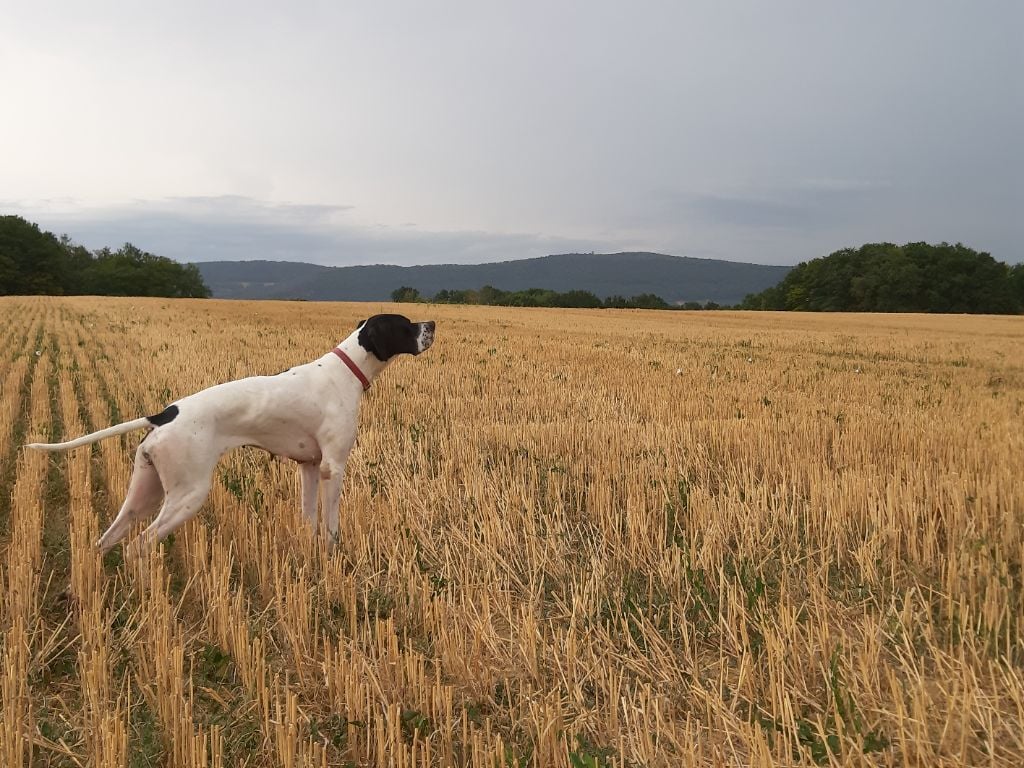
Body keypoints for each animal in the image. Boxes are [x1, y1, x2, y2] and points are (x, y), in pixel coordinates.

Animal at [24, 313, 432, 552]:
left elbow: (309, 518)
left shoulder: (309, 466)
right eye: (406, 324)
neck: (346, 370)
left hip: (144, 493)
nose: (432, 325)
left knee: (106, 542)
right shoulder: (334, 466)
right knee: (138, 547)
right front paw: (333, 556)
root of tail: (163, 415)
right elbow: (331, 524)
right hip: (187, 495)